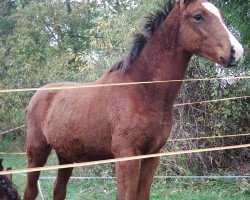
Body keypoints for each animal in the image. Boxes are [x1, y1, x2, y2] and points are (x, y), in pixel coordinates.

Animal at [23, 0, 242, 199]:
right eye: (198, 16)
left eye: (221, 15)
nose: (236, 52)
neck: (141, 91)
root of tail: (36, 96)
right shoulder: (127, 156)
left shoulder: (152, 156)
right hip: (37, 152)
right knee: (31, 190)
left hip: (66, 155)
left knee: (59, 190)